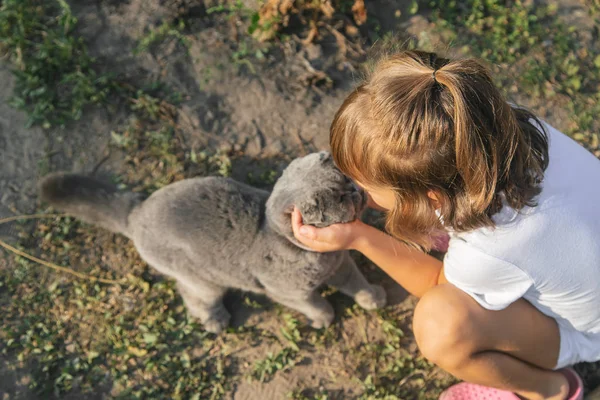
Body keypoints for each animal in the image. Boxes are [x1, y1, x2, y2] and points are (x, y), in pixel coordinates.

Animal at [43, 152, 390, 332]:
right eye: (340, 198)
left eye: (347, 181)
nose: (357, 191)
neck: (320, 259)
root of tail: (136, 212)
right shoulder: (289, 293)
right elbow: (314, 303)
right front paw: (324, 318)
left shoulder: (342, 263)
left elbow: (356, 281)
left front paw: (372, 296)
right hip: (203, 280)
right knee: (191, 294)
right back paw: (215, 320)